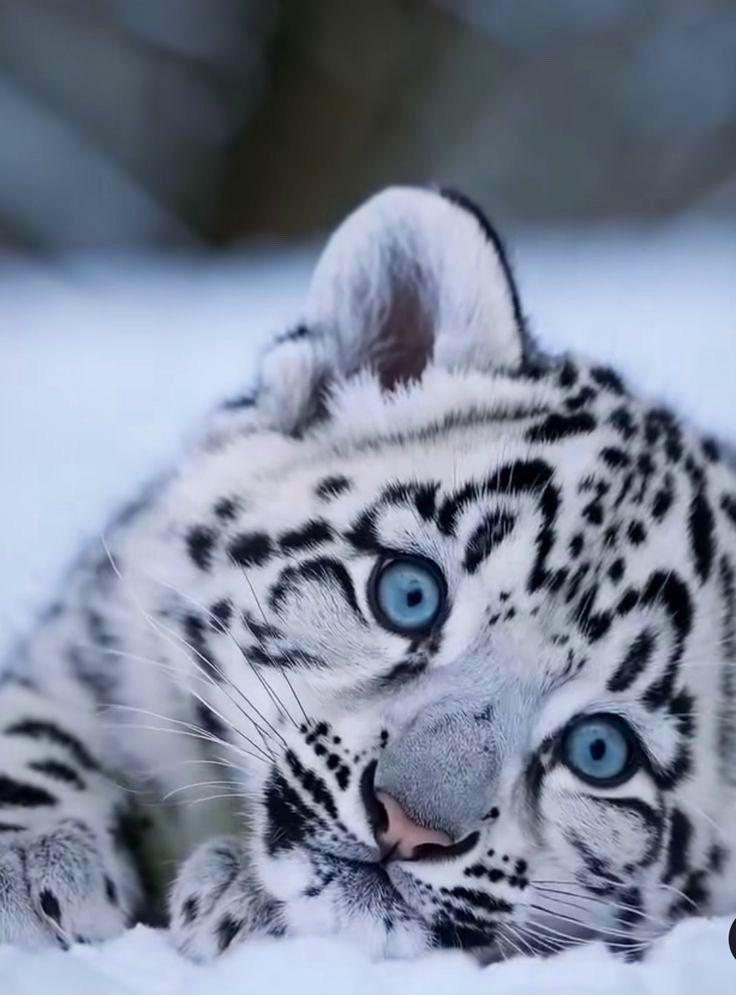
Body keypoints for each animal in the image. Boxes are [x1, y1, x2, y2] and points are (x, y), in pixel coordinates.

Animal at [1, 185, 734, 963]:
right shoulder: (101, 633)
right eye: (409, 592)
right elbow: (40, 718)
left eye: (602, 750)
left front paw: (241, 902)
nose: (410, 826)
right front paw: (30, 860)